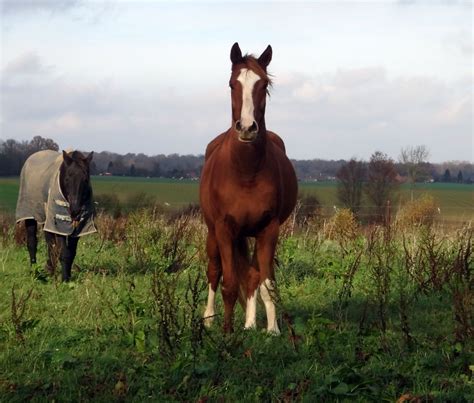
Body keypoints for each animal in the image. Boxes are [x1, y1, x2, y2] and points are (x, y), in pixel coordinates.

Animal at [15, 150, 96, 282]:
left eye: (85, 179)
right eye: (67, 178)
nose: (75, 211)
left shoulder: (78, 228)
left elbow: (71, 252)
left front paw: (67, 276)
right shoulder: (59, 226)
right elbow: (64, 252)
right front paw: (65, 279)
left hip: (47, 220)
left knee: (50, 244)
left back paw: (50, 268)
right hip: (30, 216)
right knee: (32, 242)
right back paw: (35, 271)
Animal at [199, 43, 296, 334]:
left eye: (263, 84)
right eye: (233, 84)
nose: (247, 128)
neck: (246, 172)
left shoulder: (268, 230)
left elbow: (266, 282)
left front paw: (272, 329)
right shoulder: (224, 229)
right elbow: (229, 284)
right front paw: (227, 332)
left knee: (253, 275)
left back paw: (251, 323)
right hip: (213, 234)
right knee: (214, 271)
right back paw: (209, 318)